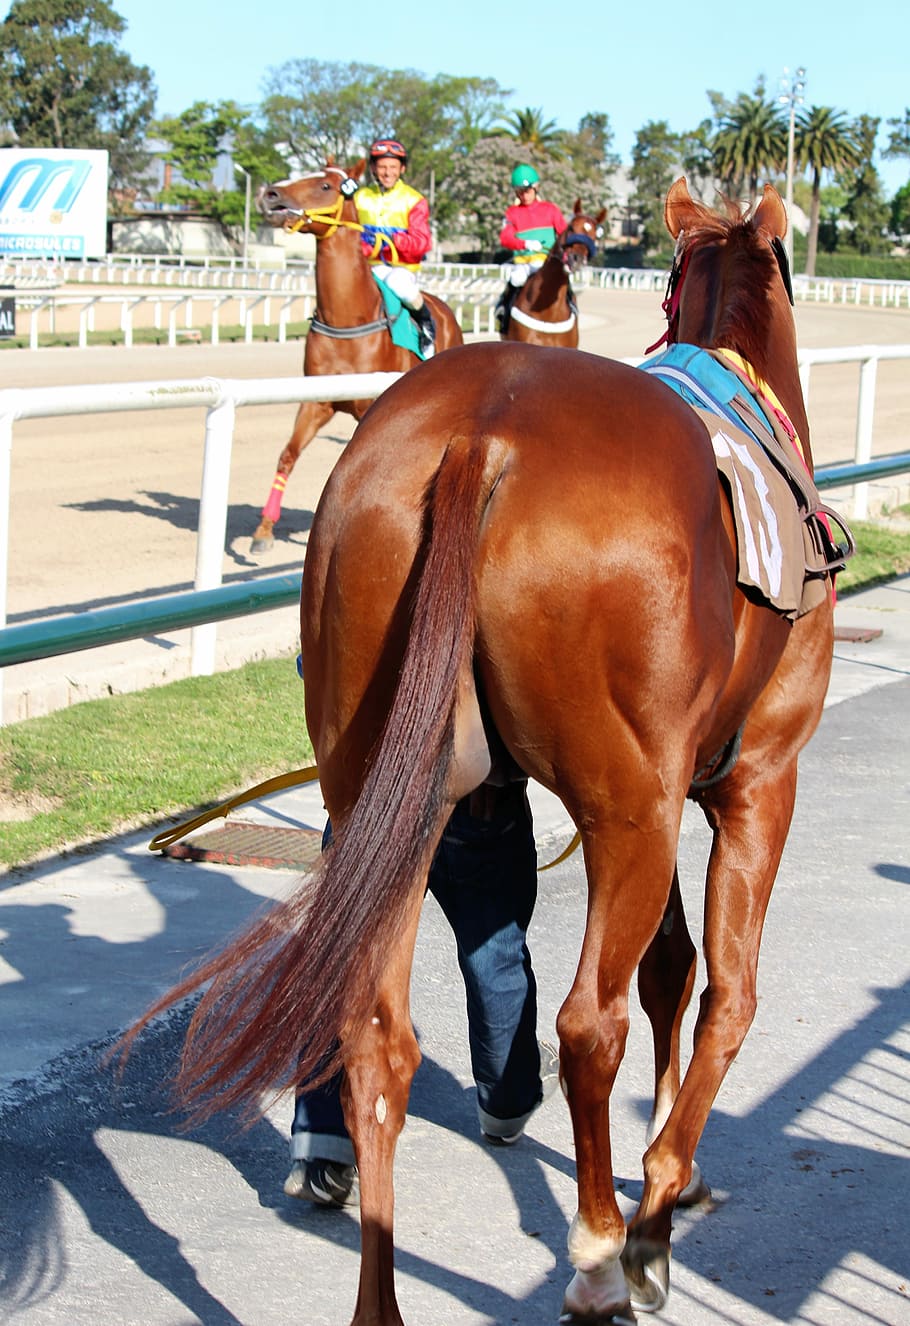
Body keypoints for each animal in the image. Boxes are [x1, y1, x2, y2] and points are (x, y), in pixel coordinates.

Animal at [249, 161, 464, 554]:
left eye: (325, 185)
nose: (270, 194)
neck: (347, 320)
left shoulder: (371, 408)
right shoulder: (316, 402)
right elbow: (287, 455)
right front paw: (264, 530)